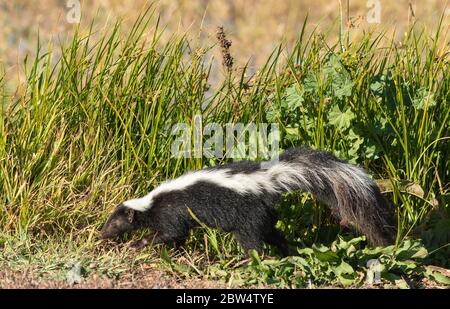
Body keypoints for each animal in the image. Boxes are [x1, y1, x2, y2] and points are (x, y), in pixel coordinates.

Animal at [100, 147, 396, 255]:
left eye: (113, 224)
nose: (101, 234)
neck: (148, 202)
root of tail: (267, 180)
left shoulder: (170, 211)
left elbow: (169, 232)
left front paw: (139, 243)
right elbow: (177, 236)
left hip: (248, 216)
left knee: (253, 243)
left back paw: (247, 260)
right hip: (264, 215)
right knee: (273, 233)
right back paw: (290, 252)